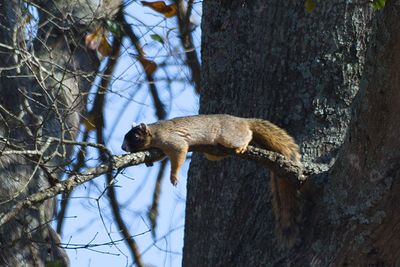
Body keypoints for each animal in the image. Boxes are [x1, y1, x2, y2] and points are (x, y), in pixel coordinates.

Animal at [122, 114, 304, 248]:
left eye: (135, 136)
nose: (123, 148)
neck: (154, 132)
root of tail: (242, 120)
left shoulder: (171, 141)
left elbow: (179, 152)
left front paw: (174, 177)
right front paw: (149, 162)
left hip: (229, 136)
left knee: (246, 135)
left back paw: (243, 144)